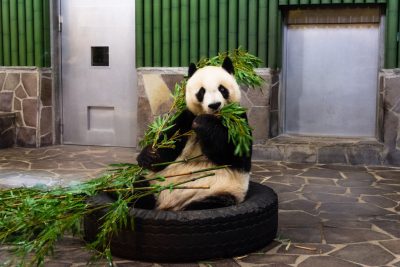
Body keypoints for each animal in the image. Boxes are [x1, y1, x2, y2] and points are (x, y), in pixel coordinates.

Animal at [136, 57, 252, 211]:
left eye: (222, 89)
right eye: (201, 92)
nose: (214, 105)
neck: (216, 117)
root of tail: (167, 205)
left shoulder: (238, 120)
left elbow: (236, 156)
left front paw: (203, 123)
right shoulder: (185, 119)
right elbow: (168, 148)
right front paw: (148, 155)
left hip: (220, 191)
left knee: (206, 205)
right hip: (154, 181)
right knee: (134, 187)